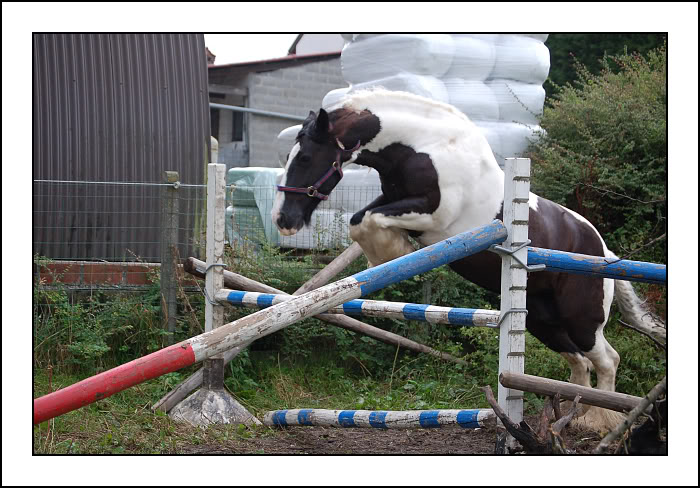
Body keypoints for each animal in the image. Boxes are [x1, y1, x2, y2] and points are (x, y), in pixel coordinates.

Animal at [272, 88, 660, 430]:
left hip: (581, 320)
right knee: (579, 364)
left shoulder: (432, 216)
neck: (423, 147)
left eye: (304, 158)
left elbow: (367, 220)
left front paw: (394, 253)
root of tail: (603, 251)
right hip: (542, 320)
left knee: (606, 361)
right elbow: (359, 220)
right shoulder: (394, 201)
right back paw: (566, 418)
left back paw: (597, 422)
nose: (283, 220)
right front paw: (386, 257)